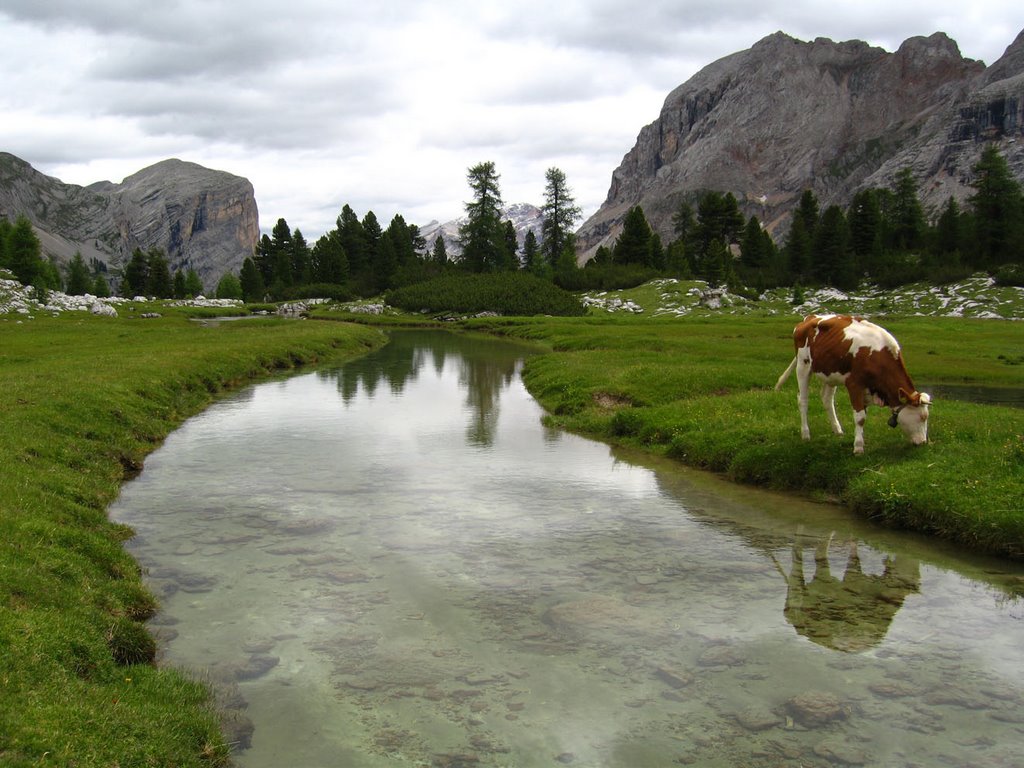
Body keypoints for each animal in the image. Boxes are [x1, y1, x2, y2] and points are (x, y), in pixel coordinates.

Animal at [774, 313, 929, 454]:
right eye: (922, 417)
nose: (923, 442)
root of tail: (810, 317)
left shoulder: (867, 389)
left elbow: (863, 415)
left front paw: (859, 440)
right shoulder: (854, 384)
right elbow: (860, 418)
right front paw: (858, 447)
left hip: (830, 373)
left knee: (827, 399)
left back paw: (837, 429)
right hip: (803, 365)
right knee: (803, 400)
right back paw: (805, 434)